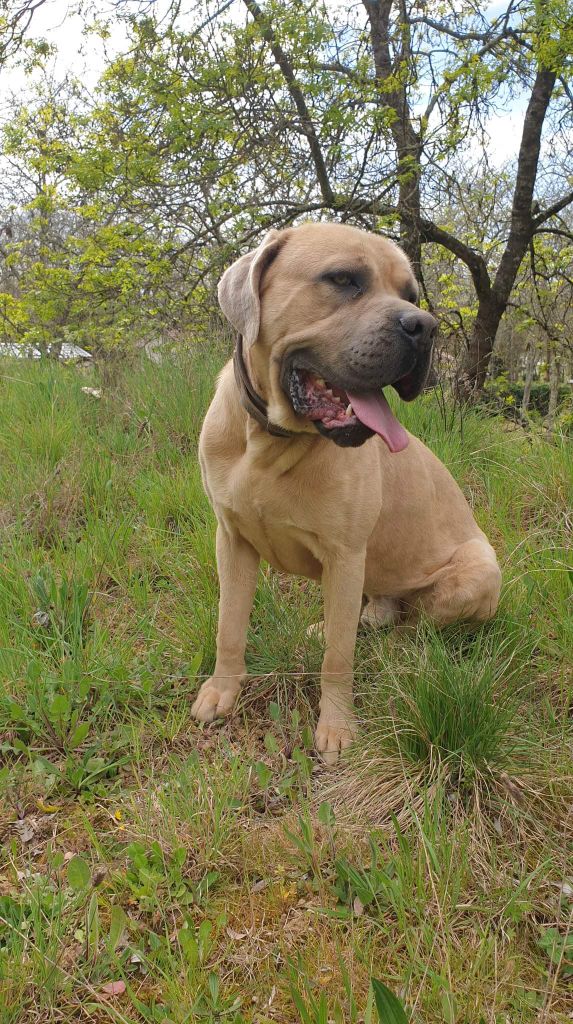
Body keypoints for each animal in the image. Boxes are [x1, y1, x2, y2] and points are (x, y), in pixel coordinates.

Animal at [192, 226, 501, 770]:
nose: (425, 327)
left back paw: (394, 646)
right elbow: (229, 625)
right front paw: (222, 691)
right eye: (342, 279)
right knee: (374, 612)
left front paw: (336, 727)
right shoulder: (231, 541)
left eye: (411, 295)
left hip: (477, 574)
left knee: (412, 627)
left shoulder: (344, 553)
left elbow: (337, 659)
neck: (272, 441)